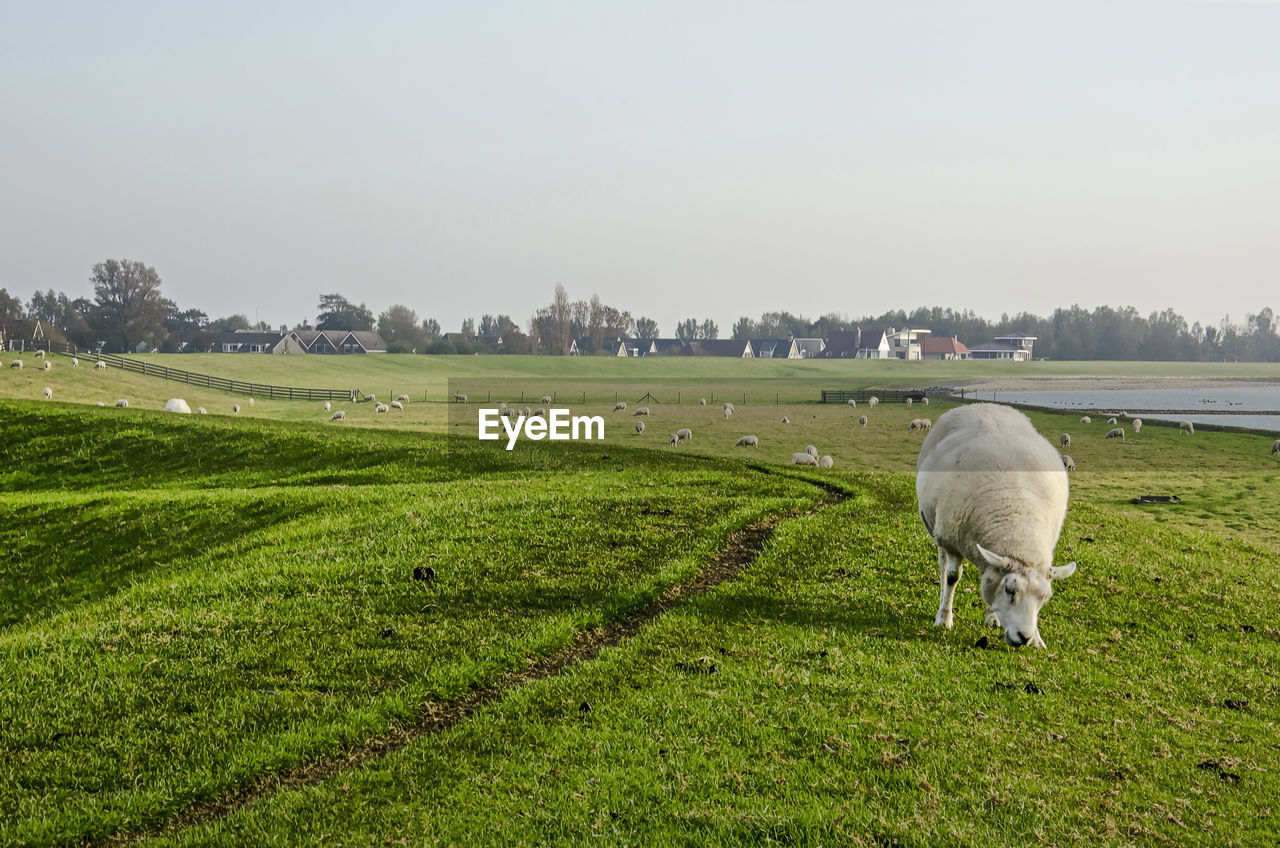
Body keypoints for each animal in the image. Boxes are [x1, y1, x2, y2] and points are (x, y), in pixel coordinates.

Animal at [916, 404, 1075, 650]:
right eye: (1010, 590)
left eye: (1044, 598)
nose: (1024, 637)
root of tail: (982, 405)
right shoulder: (951, 539)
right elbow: (953, 577)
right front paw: (944, 618)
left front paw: (1037, 638)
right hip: (936, 527)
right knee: (943, 567)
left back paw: (992, 616)